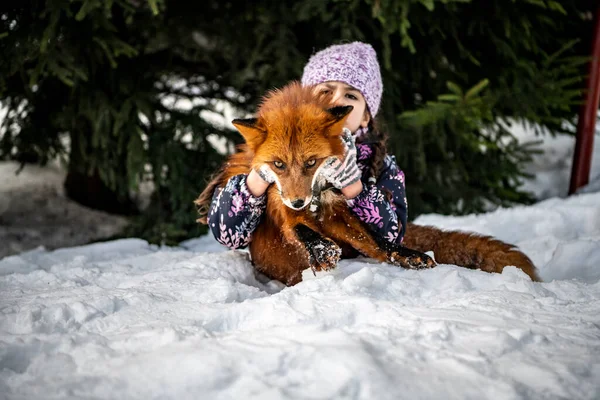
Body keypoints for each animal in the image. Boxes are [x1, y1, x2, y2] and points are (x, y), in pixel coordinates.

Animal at [195, 82, 540, 284]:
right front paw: (322, 252)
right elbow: (303, 231)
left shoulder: (336, 211)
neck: (316, 196)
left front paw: (406, 255)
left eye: (311, 162)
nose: (299, 201)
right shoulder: (281, 207)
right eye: (278, 165)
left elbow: (377, 240)